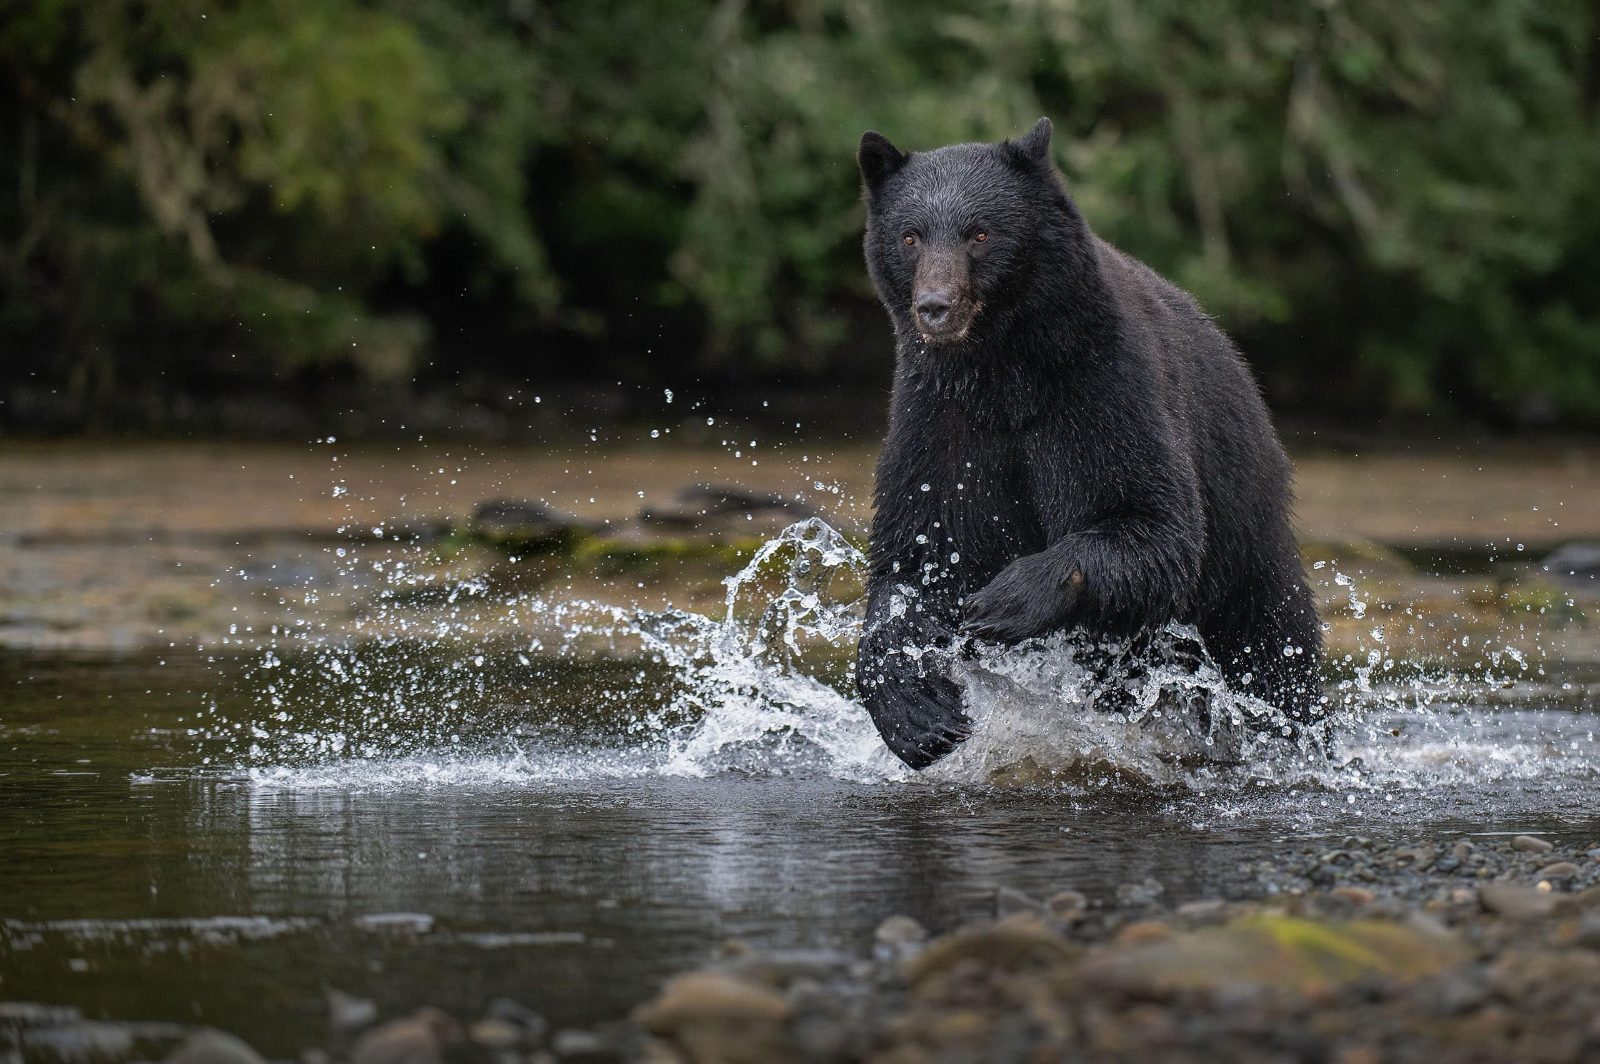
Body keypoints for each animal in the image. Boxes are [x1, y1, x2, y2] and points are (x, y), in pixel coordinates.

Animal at [852, 117, 1323, 769]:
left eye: (979, 233)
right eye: (910, 236)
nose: (935, 308)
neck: (1003, 369)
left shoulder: (1102, 384)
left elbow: (1152, 525)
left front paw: (1004, 600)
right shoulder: (939, 414)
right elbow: (918, 546)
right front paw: (917, 710)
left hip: (1246, 541)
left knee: (1275, 656)